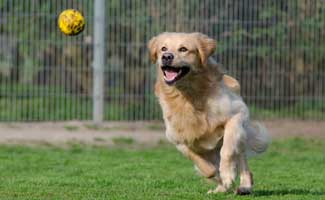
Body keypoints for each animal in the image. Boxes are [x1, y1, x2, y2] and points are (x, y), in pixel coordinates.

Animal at [147, 32, 268, 195]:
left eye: (183, 49)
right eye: (163, 48)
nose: (166, 56)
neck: (188, 95)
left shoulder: (237, 114)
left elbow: (227, 150)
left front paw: (227, 174)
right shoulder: (177, 139)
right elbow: (204, 166)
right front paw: (220, 178)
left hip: (241, 135)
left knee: (242, 161)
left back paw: (244, 186)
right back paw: (221, 188)